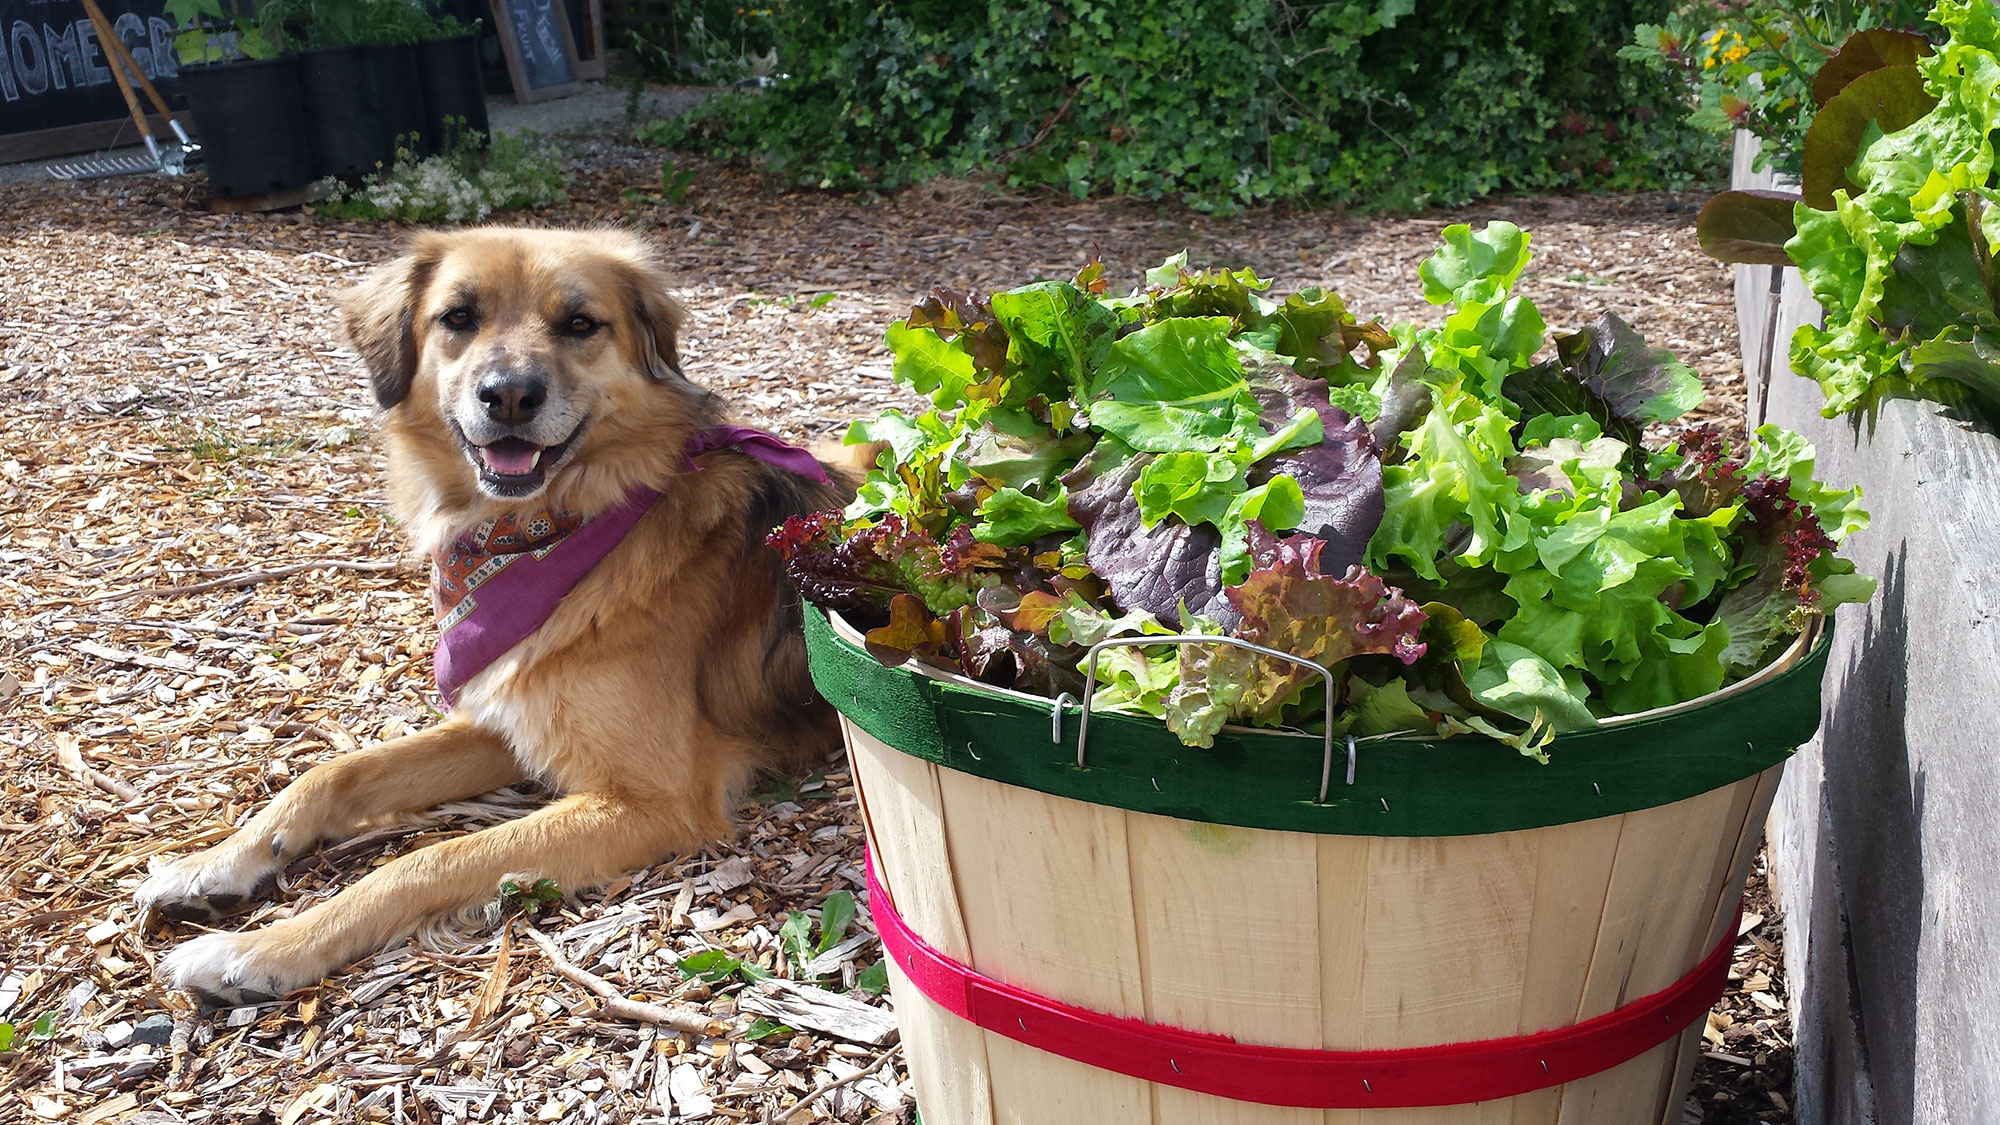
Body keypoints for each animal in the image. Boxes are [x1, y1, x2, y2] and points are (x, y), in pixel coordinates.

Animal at [133, 225, 852, 996]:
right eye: (459, 317)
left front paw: (262, 949)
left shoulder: (652, 799)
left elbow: (425, 858)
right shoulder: (511, 714)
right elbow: (334, 771)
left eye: (580, 324)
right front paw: (211, 863)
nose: (508, 396)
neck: (540, 532)